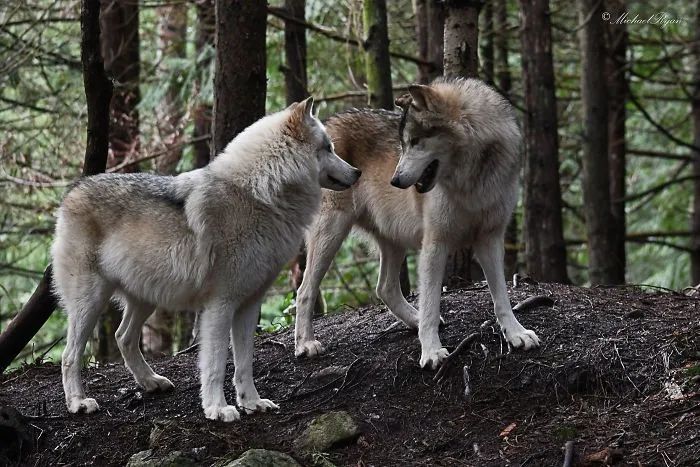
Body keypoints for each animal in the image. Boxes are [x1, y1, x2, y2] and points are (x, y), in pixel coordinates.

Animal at [52, 98, 360, 424]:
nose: (357, 172)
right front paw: (218, 409)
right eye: (328, 148)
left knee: (123, 337)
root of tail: (73, 190)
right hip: (90, 303)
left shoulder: (249, 304)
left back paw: (151, 382)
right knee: (69, 356)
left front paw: (252, 402)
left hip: (146, 299)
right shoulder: (219, 306)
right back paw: (78, 402)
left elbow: (244, 363)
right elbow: (215, 364)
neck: (259, 194)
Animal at [296, 77, 540, 370]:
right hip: (331, 235)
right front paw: (431, 351)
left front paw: (516, 334)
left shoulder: (490, 239)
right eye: (403, 144)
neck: (473, 180)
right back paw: (305, 344)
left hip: (393, 240)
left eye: (415, 142)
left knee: (385, 288)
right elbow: (431, 304)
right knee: (304, 291)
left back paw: (412, 320)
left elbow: (501, 297)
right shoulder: (435, 243)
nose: (395, 180)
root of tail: (327, 123)